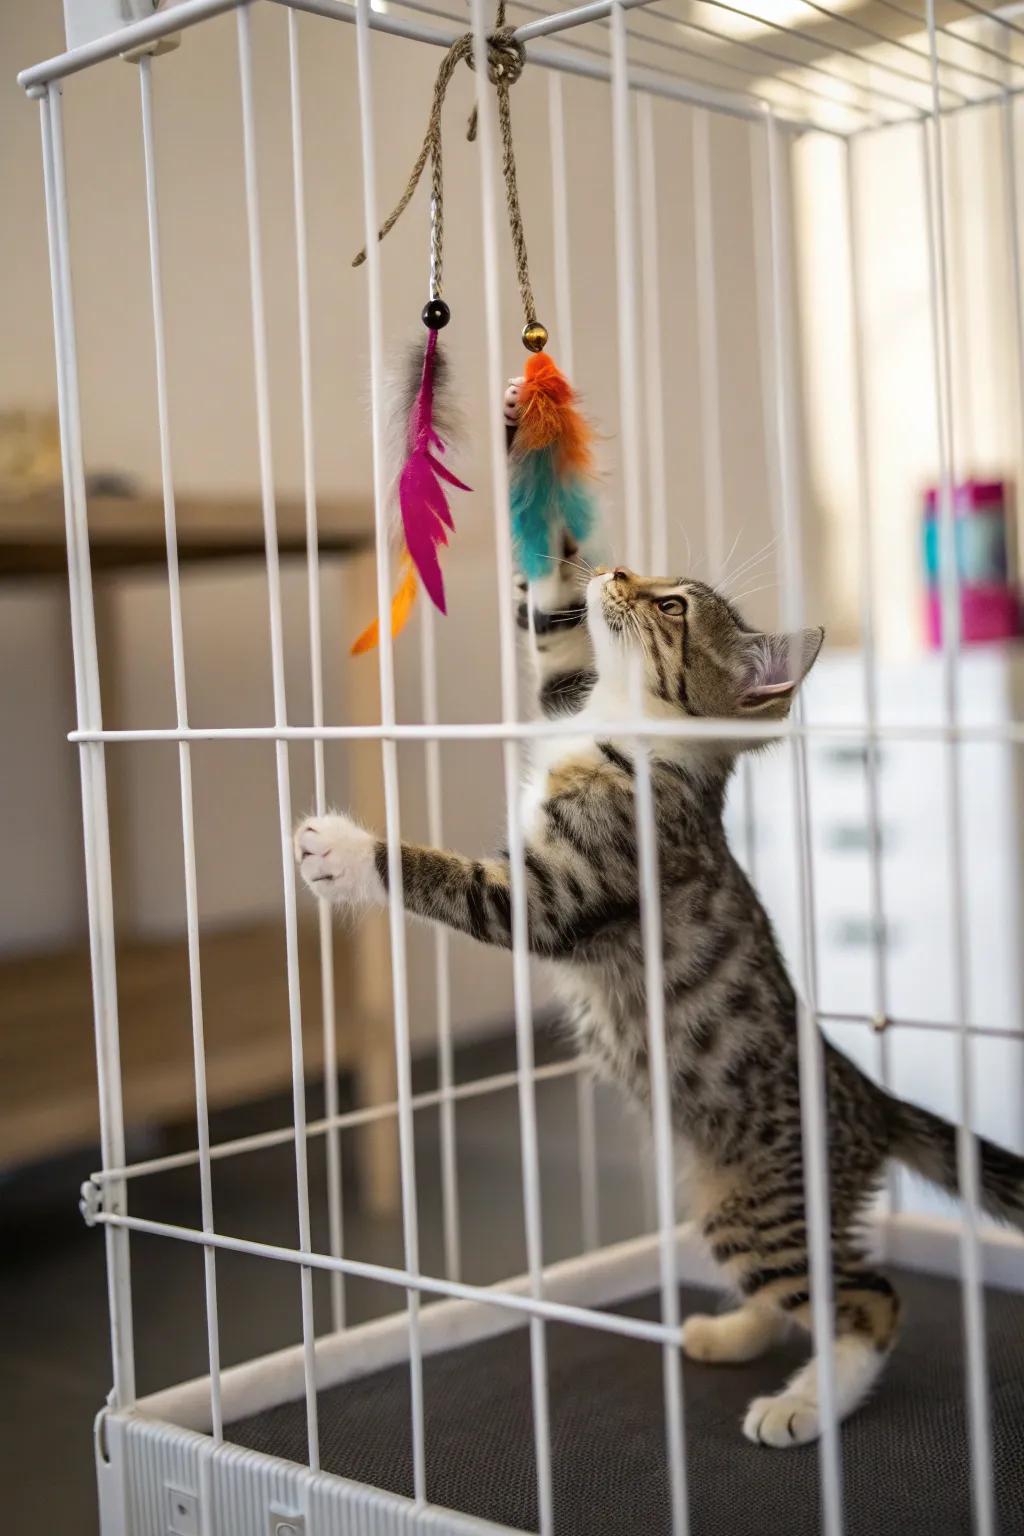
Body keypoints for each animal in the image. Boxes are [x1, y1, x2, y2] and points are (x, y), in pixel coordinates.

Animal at [294, 559, 1024, 1443]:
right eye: (653, 581)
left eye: (672, 606)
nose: (616, 571)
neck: (626, 736)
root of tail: (870, 1097)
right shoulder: (565, 696)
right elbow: (555, 650)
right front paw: (541, 554)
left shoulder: (557, 894)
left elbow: (450, 880)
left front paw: (343, 852)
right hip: (719, 1199)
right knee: (802, 1298)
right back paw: (731, 1333)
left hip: (763, 1209)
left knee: (867, 1302)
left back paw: (807, 1404)